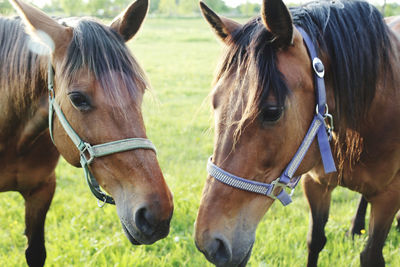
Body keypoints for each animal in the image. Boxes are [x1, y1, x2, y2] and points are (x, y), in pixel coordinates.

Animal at [1, 0, 173, 266]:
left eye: (141, 90)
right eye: (77, 98)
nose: (156, 213)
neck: (16, 140)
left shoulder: (42, 190)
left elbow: (36, 252)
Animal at [195, 0, 398, 267]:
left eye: (272, 111)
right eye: (215, 102)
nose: (210, 244)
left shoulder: (388, 199)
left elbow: (371, 255)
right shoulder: (316, 184)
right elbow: (316, 240)